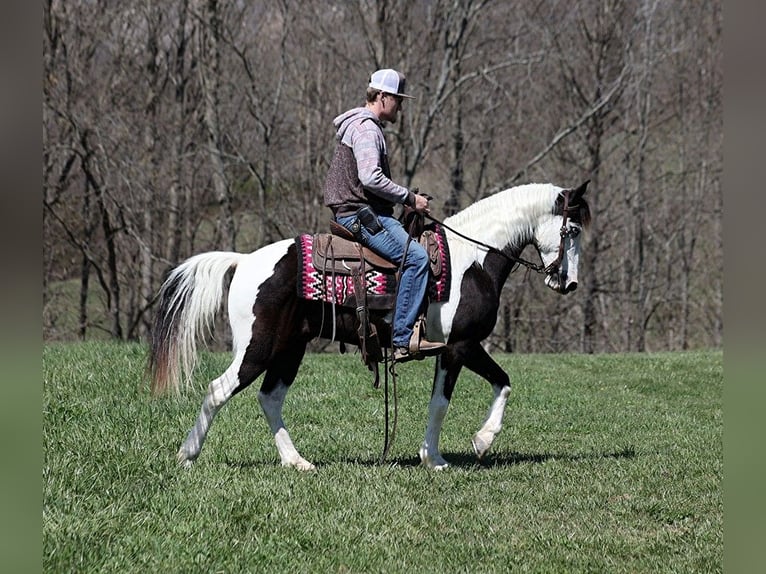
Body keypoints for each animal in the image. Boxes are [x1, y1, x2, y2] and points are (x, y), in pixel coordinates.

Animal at [149, 181, 591, 470]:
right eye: (572, 230)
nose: (568, 282)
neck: (473, 260)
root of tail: (243, 261)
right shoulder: (459, 346)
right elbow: (458, 397)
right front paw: (451, 452)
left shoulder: (459, 348)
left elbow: (488, 387)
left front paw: (461, 448)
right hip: (257, 348)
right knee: (218, 390)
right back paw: (187, 455)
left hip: (290, 348)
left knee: (270, 398)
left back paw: (297, 462)